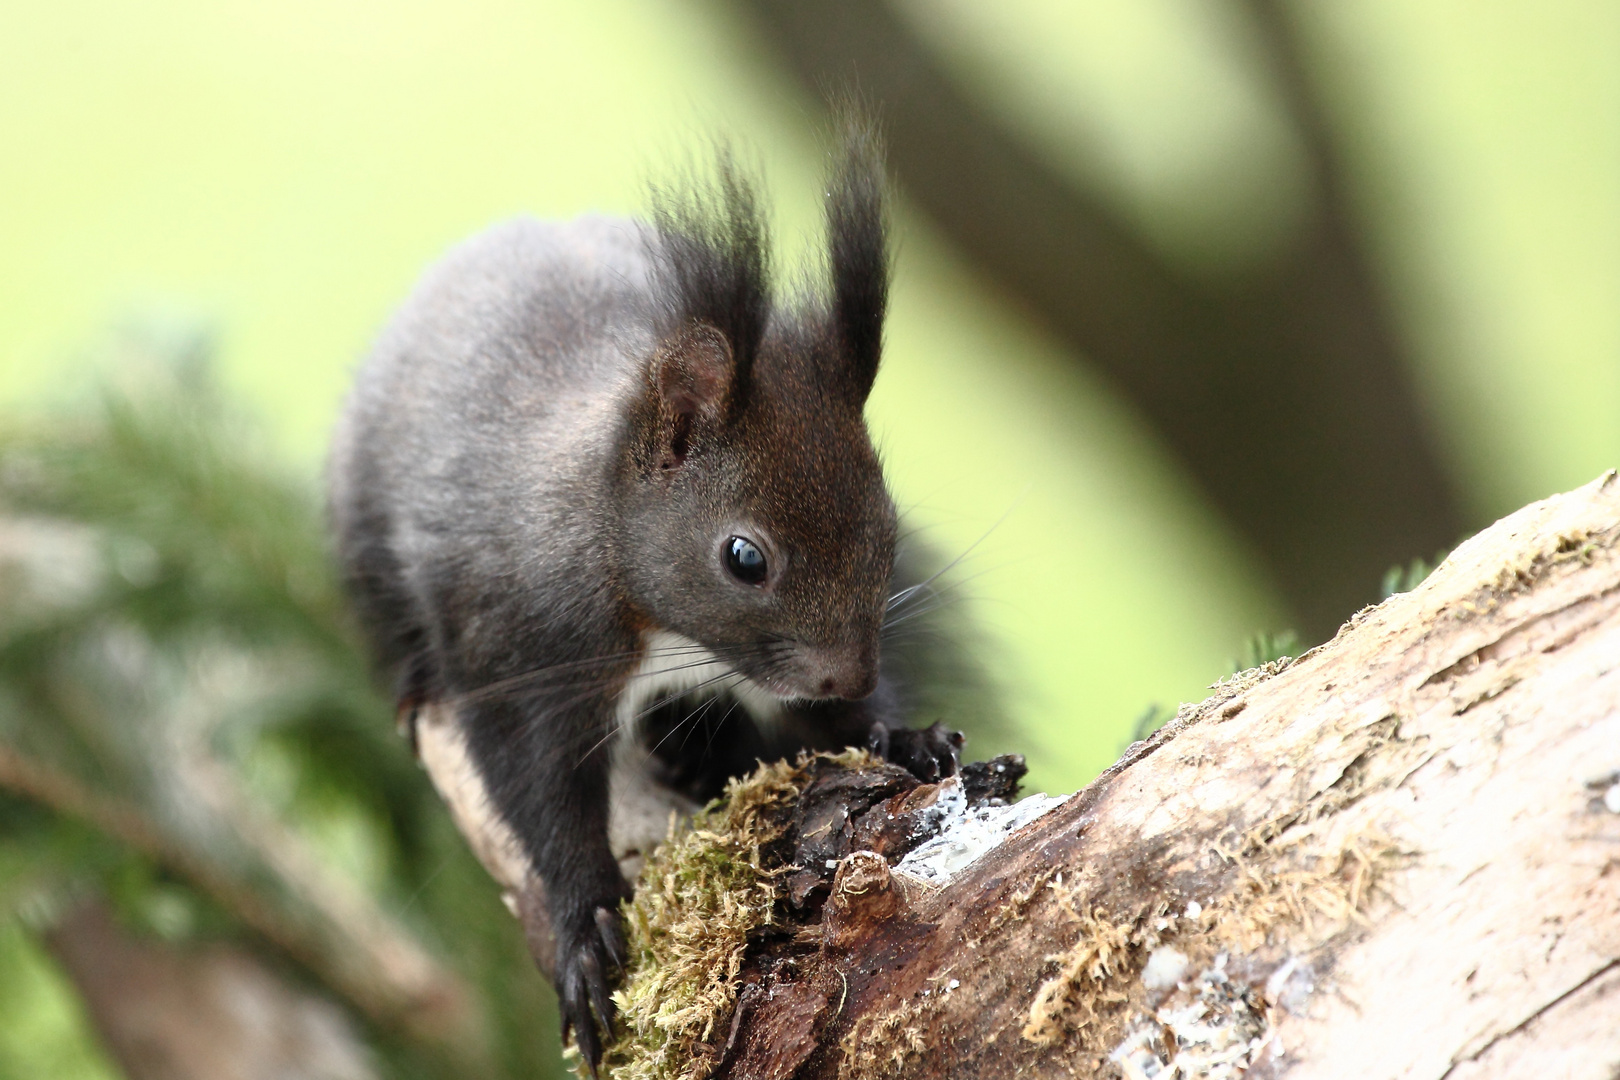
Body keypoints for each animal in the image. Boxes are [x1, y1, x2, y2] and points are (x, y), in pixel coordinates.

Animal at [322, 122, 965, 1068]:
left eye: (888, 523)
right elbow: (538, 792)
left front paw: (902, 735)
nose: (848, 676)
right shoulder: (521, 649)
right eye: (744, 557)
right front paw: (583, 928)